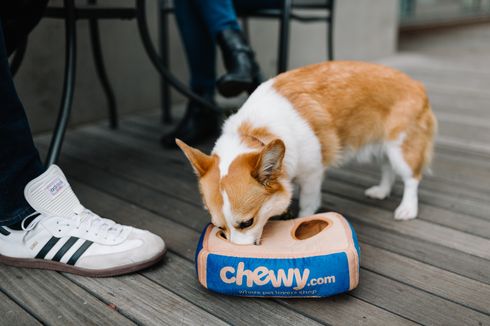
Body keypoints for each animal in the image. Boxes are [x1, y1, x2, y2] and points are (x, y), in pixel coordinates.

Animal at [178, 61, 438, 244]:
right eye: (218, 226)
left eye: (247, 222)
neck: (255, 133)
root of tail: (417, 84)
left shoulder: (313, 174)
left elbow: (307, 205)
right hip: (380, 146)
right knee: (387, 168)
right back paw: (382, 191)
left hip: (400, 147)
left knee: (411, 178)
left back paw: (407, 208)